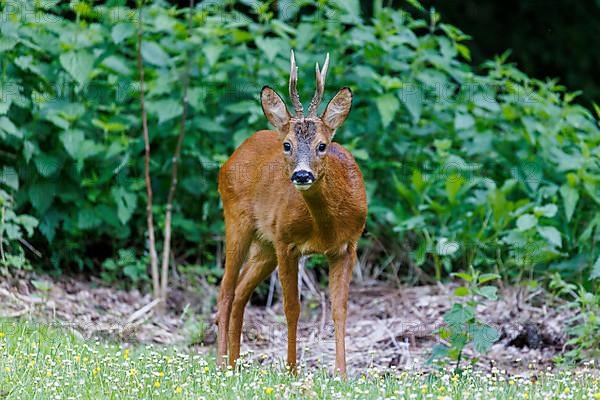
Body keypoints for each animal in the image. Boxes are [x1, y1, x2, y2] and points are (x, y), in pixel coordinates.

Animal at [216, 50, 366, 376]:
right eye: (287, 145)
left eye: (322, 145)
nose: (302, 175)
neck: (325, 228)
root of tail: (232, 157)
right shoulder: (286, 242)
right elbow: (292, 308)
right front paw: (292, 370)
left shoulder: (348, 246)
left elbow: (340, 309)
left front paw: (342, 374)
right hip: (237, 220)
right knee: (226, 290)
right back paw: (221, 365)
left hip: (264, 245)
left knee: (241, 292)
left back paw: (235, 365)